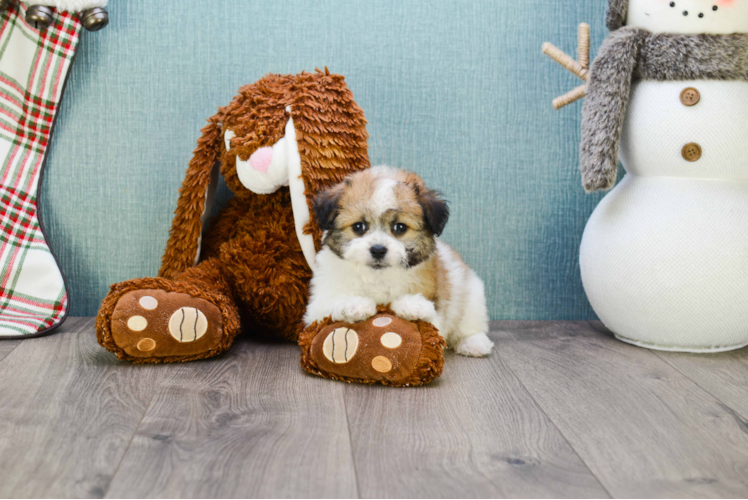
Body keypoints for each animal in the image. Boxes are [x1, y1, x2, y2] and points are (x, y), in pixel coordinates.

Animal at [300, 166, 494, 358]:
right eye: (358, 227)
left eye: (400, 227)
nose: (378, 250)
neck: (377, 276)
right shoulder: (315, 309)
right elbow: (326, 307)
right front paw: (353, 304)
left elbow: (434, 322)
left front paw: (413, 305)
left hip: (471, 296)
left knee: (471, 324)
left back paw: (474, 343)